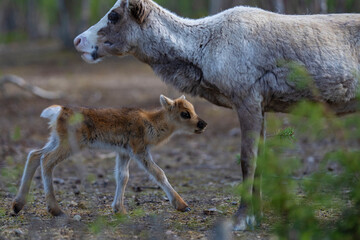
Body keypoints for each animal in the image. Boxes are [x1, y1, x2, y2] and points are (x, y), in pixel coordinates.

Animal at [11, 95, 207, 216]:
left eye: (193, 109)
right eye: (185, 113)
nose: (203, 124)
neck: (151, 124)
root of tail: (57, 112)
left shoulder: (123, 152)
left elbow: (123, 176)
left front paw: (119, 209)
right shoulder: (139, 149)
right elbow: (158, 173)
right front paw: (182, 205)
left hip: (55, 139)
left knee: (34, 154)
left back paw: (17, 205)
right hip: (70, 144)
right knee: (46, 160)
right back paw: (55, 210)